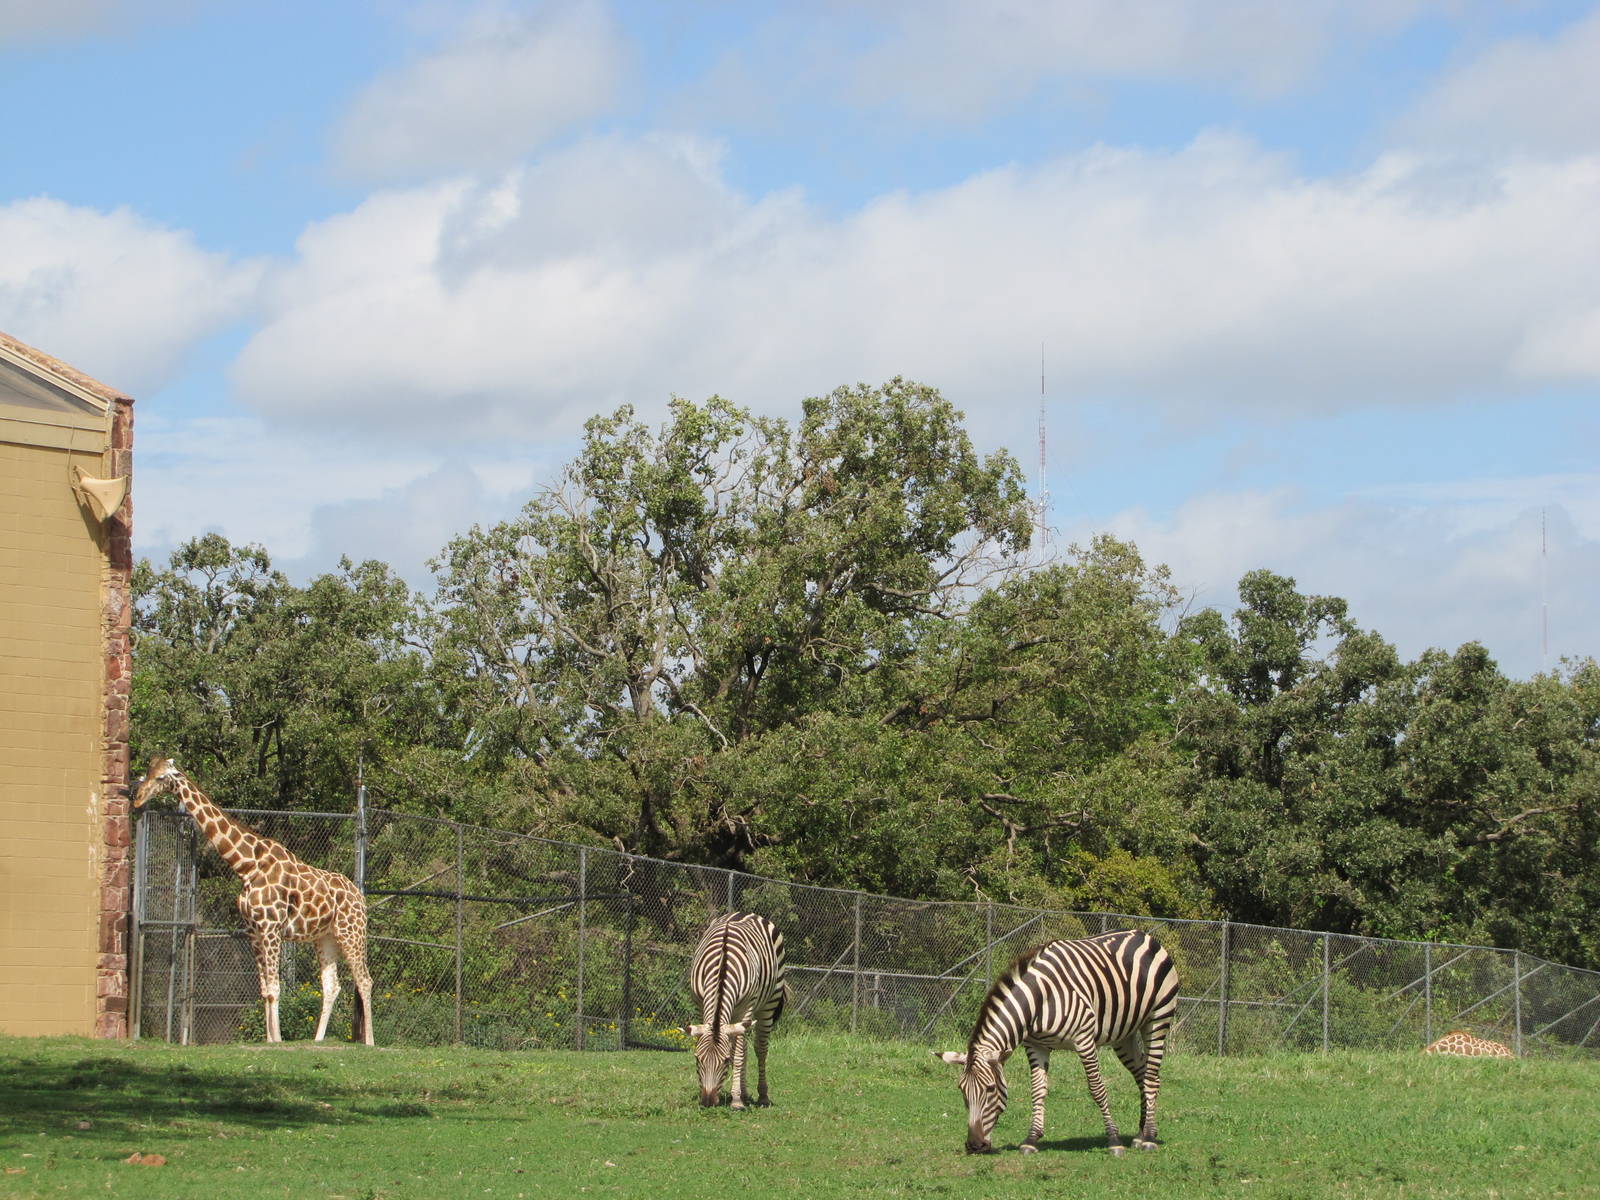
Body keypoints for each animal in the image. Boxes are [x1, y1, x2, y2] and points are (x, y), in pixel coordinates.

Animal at [133, 757, 375, 1045]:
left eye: (161, 778)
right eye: (146, 773)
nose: (137, 799)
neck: (247, 865)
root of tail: (360, 896)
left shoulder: (272, 928)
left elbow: (275, 987)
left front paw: (278, 1040)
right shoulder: (254, 930)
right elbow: (265, 989)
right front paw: (270, 1040)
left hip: (351, 932)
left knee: (365, 980)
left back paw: (370, 1043)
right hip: (324, 937)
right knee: (331, 985)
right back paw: (317, 1041)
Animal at [684, 911, 788, 1108]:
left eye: (724, 1061)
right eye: (697, 1059)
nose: (708, 1102)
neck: (722, 968)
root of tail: (746, 913)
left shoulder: (746, 1008)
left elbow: (737, 1055)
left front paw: (737, 1101)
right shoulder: (699, 1005)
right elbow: (736, 1053)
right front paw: (738, 1095)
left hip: (768, 1004)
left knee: (760, 1048)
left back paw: (762, 1096)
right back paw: (745, 1092)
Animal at [937, 929, 1179, 1156]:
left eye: (989, 1089)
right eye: (961, 1089)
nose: (974, 1145)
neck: (1040, 999)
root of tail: (1144, 936)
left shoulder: (1084, 1040)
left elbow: (1097, 1088)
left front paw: (1114, 1141)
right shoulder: (1036, 1045)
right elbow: (1037, 1090)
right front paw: (1031, 1139)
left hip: (1158, 1019)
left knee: (1151, 1078)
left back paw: (1149, 1138)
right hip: (1124, 1035)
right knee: (1141, 1074)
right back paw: (1142, 1133)